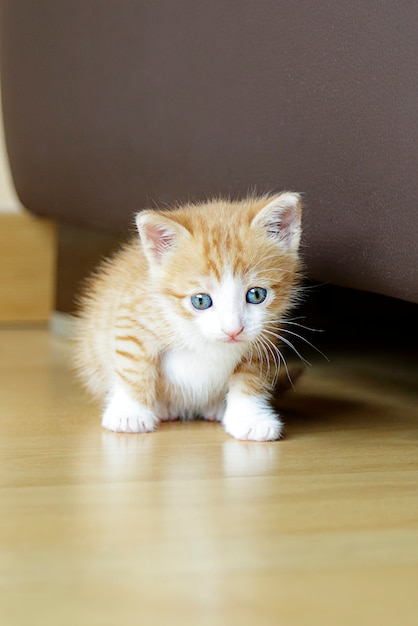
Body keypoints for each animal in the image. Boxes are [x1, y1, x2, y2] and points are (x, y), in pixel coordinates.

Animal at [75, 193, 302, 442]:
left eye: (256, 294)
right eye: (200, 301)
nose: (233, 330)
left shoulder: (263, 339)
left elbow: (250, 376)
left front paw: (250, 418)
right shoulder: (133, 317)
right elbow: (133, 368)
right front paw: (129, 413)